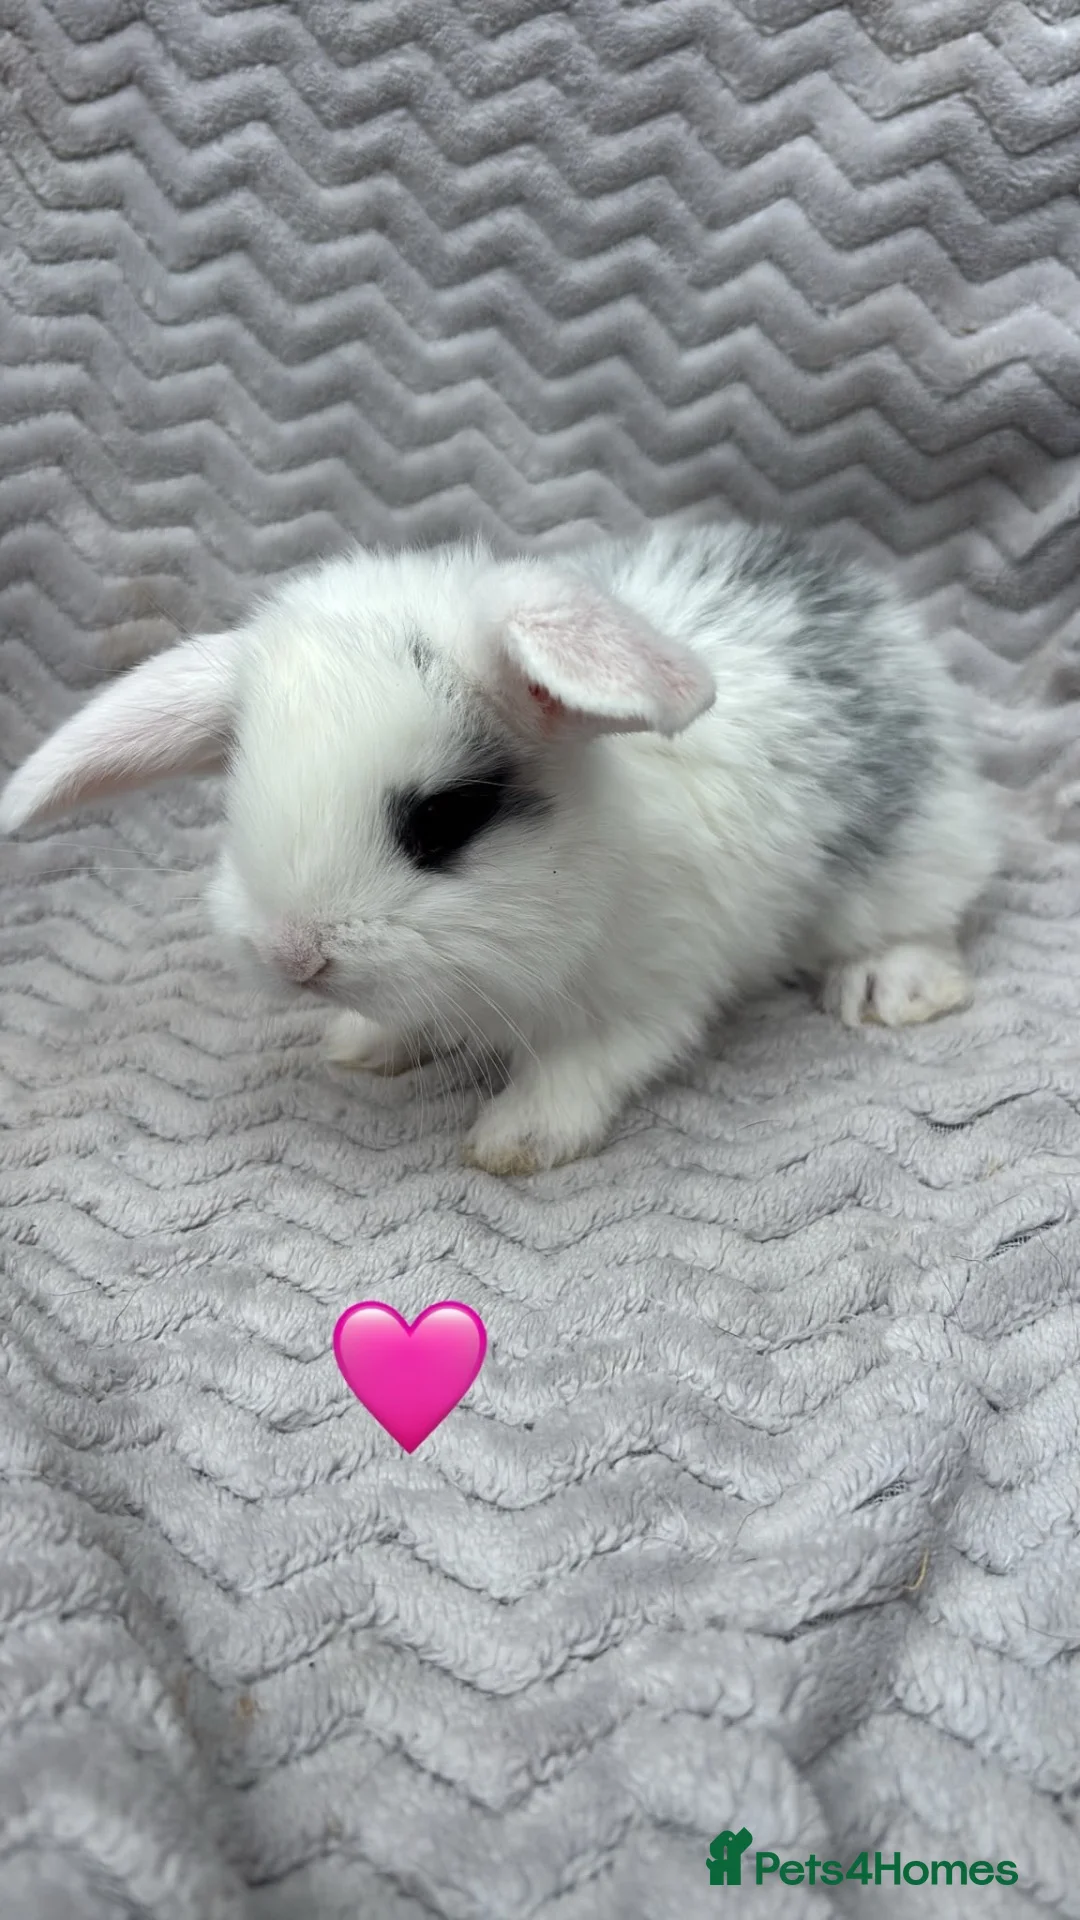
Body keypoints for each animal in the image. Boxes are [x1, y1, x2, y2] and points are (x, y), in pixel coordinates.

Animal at [0, 519, 1000, 1175]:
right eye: (239, 793)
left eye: (445, 820)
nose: (294, 957)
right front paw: (363, 1045)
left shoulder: (652, 992)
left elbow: (586, 1066)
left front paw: (515, 1141)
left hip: (909, 858)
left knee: (928, 915)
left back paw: (890, 990)